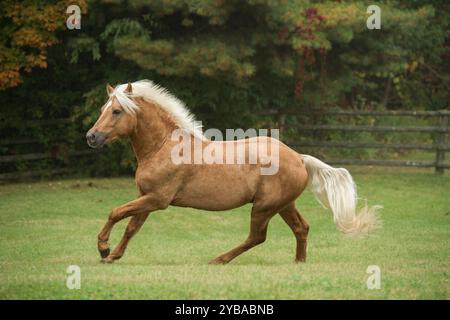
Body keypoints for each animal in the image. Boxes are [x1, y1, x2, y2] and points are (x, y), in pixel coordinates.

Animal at [85, 80, 380, 264]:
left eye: (116, 111)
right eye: (102, 109)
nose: (91, 137)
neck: (164, 146)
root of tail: (298, 157)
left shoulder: (157, 199)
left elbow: (116, 213)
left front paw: (102, 248)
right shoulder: (146, 198)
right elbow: (131, 227)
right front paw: (112, 256)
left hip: (264, 207)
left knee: (257, 237)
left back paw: (218, 259)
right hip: (284, 205)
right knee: (301, 228)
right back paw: (299, 262)